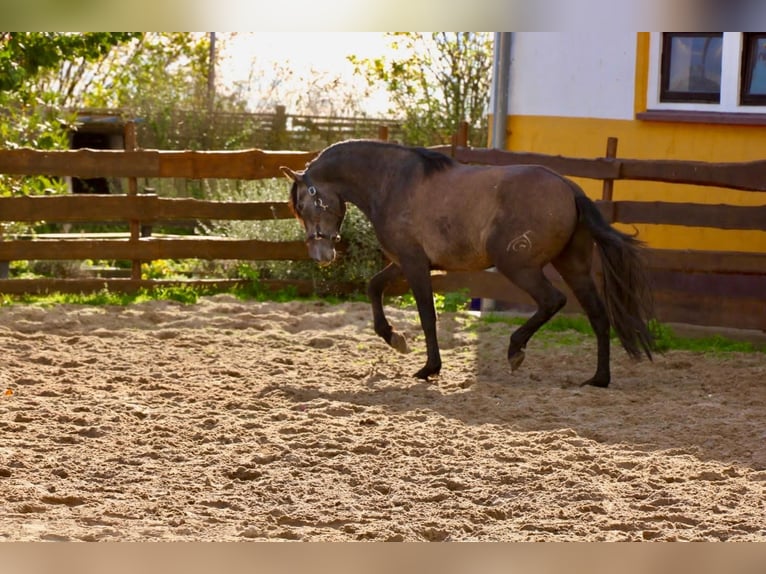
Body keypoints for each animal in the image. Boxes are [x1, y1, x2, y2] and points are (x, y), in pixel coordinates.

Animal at [281, 139, 654, 387]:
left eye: (306, 204)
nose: (321, 256)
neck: (392, 182)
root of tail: (569, 188)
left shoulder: (415, 264)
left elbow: (427, 316)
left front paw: (429, 368)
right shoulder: (405, 262)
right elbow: (374, 288)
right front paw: (394, 338)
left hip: (518, 266)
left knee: (553, 301)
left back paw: (516, 350)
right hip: (573, 267)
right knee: (598, 315)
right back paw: (598, 378)